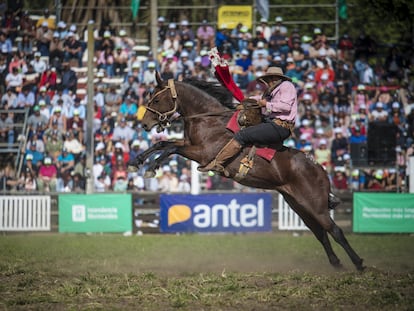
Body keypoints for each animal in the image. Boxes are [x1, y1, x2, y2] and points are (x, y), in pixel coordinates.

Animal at [131, 74, 364, 272]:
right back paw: (336, 264)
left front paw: (151, 168)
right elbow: (163, 143)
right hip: (299, 205)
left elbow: (170, 148)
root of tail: (319, 168)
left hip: (315, 205)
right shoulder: (189, 144)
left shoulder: (202, 153)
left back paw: (359, 264)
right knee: (320, 233)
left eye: (156, 99)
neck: (210, 120)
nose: (144, 124)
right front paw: (136, 162)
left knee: (336, 231)